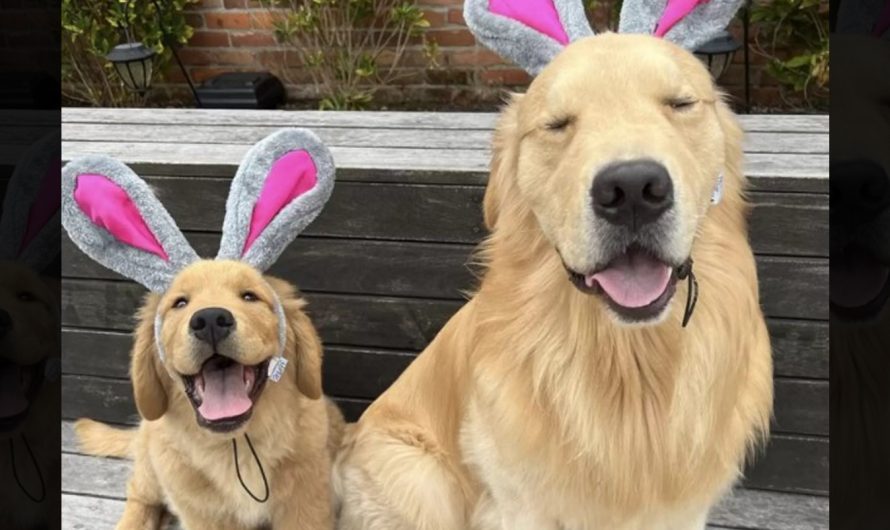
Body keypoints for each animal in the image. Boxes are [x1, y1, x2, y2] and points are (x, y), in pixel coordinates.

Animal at [63, 129, 344, 528]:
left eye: (249, 296)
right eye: (180, 303)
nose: (210, 319)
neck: (236, 448)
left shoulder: (305, 504)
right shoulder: (202, 513)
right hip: (152, 467)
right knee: (139, 496)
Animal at [332, 2, 772, 524]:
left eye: (680, 104)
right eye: (557, 124)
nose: (632, 190)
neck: (628, 362)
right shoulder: (516, 504)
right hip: (420, 480)